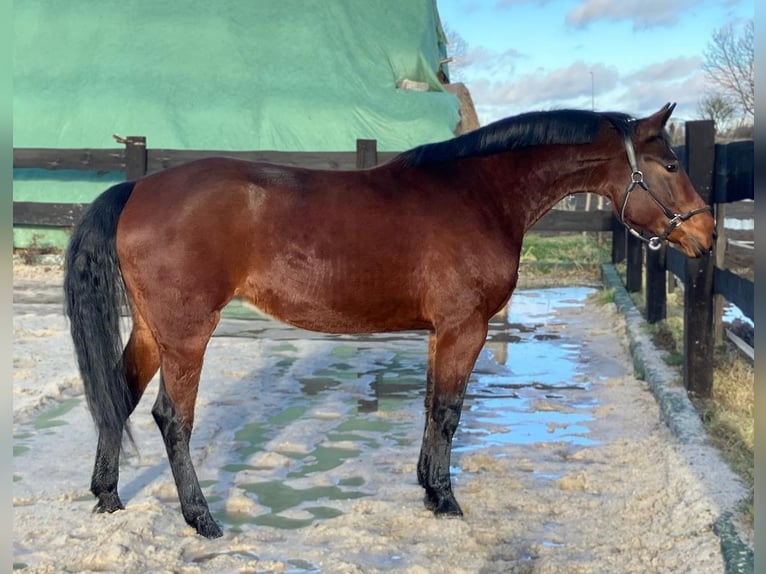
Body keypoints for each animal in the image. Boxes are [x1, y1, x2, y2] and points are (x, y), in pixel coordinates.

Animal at [63, 103, 716, 540]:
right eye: (671, 163)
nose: (707, 234)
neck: (477, 194)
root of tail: (137, 187)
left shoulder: (441, 333)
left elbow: (431, 407)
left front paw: (427, 488)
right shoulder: (465, 328)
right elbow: (449, 412)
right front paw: (447, 501)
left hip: (154, 332)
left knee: (118, 396)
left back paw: (108, 497)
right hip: (186, 334)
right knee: (172, 419)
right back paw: (201, 518)